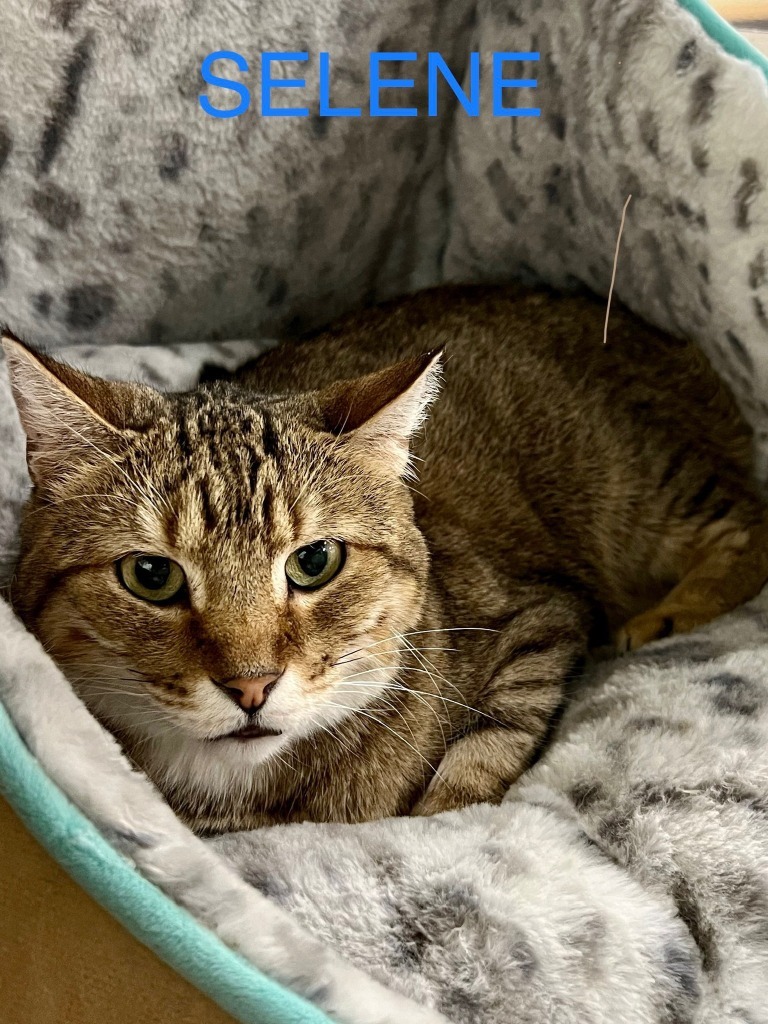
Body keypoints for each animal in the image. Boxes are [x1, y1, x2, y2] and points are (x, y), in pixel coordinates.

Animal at [6, 286, 768, 831]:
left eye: (314, 561)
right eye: (152, 575)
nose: (251, 687)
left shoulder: (543, 620)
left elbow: (484, 751)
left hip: (640, 491)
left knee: (749, 527)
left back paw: (669, 614)